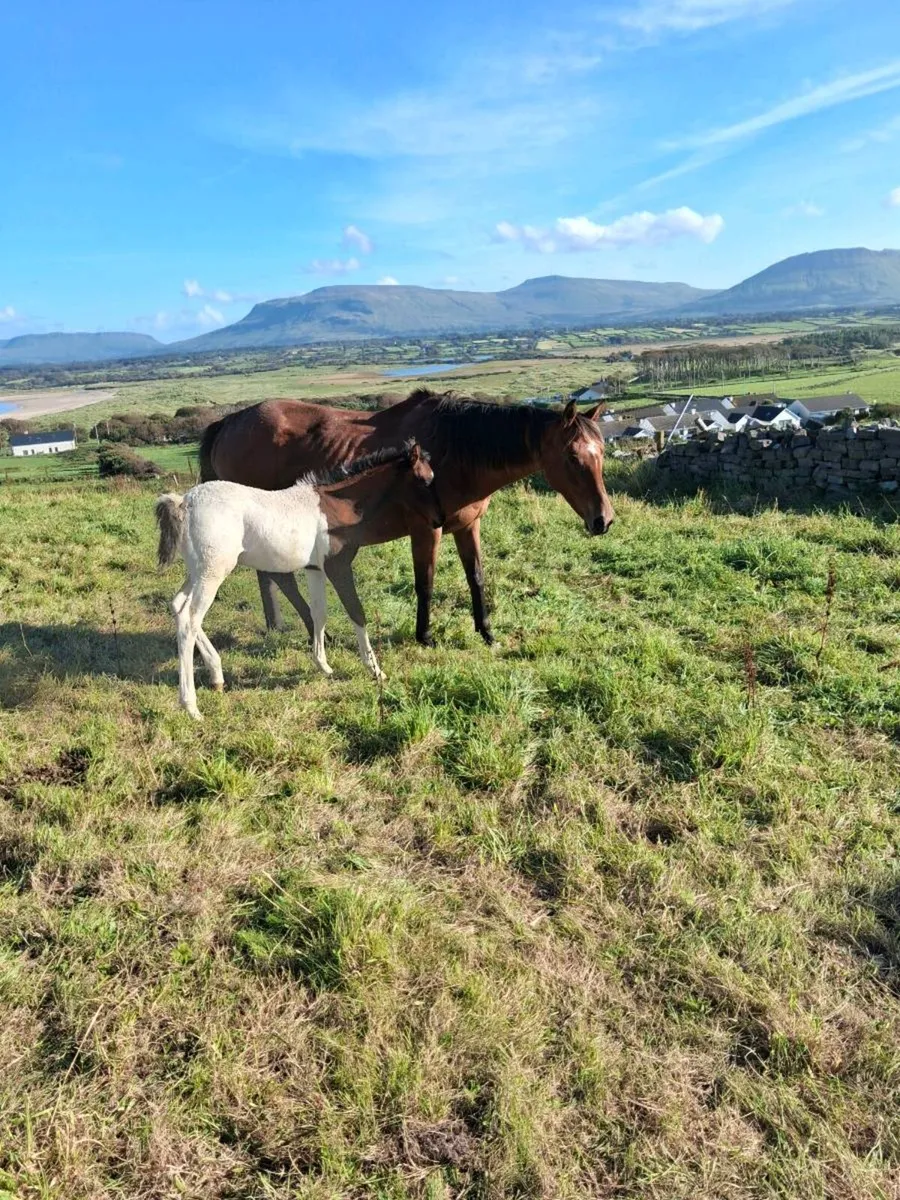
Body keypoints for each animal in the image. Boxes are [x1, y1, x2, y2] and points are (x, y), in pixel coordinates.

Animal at [155, 441, 442, 720]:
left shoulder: (315, 569)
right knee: (190, 621)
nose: (439, 521)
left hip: (197, 572)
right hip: (213, 572)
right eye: (424, 480)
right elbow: (356, 612)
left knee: (178, 606)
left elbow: (319, 614)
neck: (336, 507)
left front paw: (323, 665)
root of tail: (185, 502)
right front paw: (375, 670)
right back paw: (191, 706)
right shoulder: (338, 567)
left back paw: (216, 675)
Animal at [199, 388, 614, 647]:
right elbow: (425, 582)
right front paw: (425, 635)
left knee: (271, 576)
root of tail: (229, 423)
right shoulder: (426, 529)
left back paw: (279, 625)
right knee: (279, 576)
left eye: (601, 452)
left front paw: (486, 632)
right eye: (573, 457)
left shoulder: (468, 526)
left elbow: (477, 578)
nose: (604, 521)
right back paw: (315, 631)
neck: (456, 452)